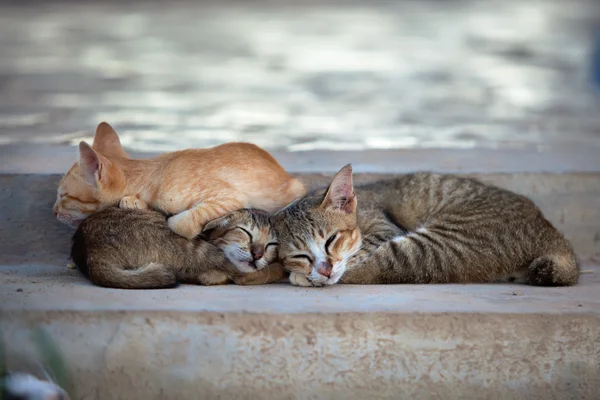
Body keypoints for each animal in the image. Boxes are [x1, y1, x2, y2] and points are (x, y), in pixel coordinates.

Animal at [51, 122, 304, 239]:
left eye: (63, 195)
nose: (53, 212)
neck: (151, 175)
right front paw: (135, 202)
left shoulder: (232, 197)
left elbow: (181, 223)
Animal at [70, 208, 286, 290]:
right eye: (245, 232)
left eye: (271, 245)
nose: (257, 254)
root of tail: (92, 253)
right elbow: (266, 271)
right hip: (194, 247)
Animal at [274, 164, 580, 286]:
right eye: (300, 254)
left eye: (331, 240)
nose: (324, 269)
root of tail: (552, 234)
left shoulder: (384, 230)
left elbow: (355, 259)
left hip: (441, 242)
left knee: (383, 266)